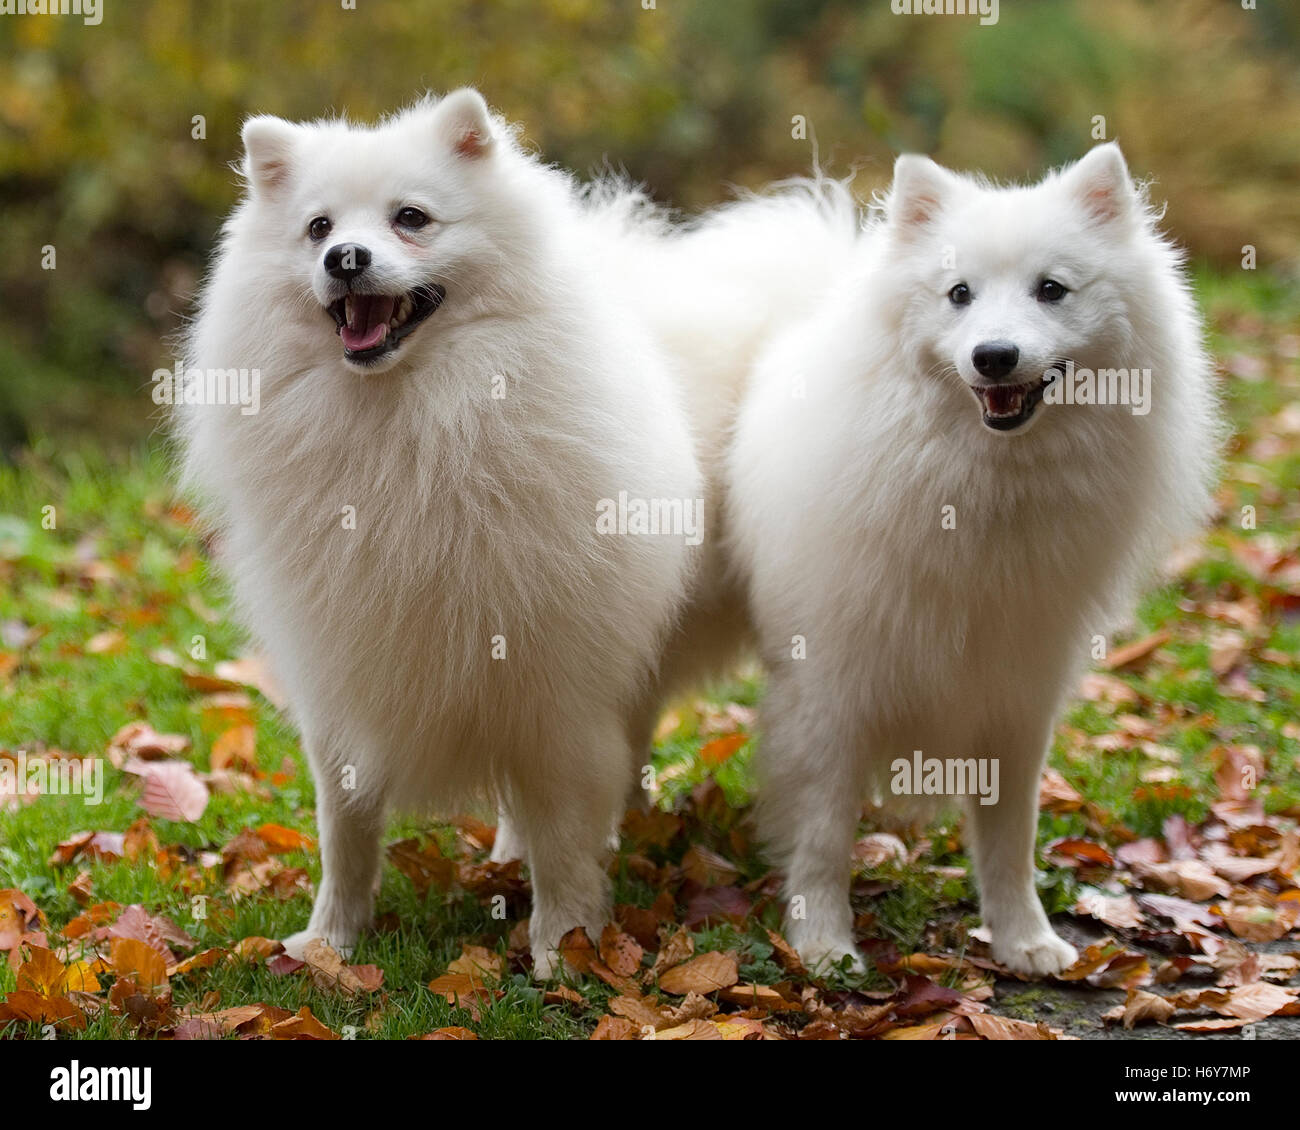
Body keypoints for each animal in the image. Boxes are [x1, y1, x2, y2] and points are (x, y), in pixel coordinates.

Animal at [178, 88, 707, 972]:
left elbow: (564, 835)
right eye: (318, 228)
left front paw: (564, 946)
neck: (413, 422)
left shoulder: (552, 683)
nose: (345, 258)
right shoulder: (341, 677)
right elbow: (345, 829)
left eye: (412, 218)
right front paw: (331, 942)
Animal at [728, 145, 1222, 972]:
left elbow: (1009, 838)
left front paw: (1024, 939)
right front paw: (824, 945)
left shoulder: (1017, 693)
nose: (994, 357)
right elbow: (823, 833)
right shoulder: (830, 689)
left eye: (1051, 290)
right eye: (958, 294)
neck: (981, 491)